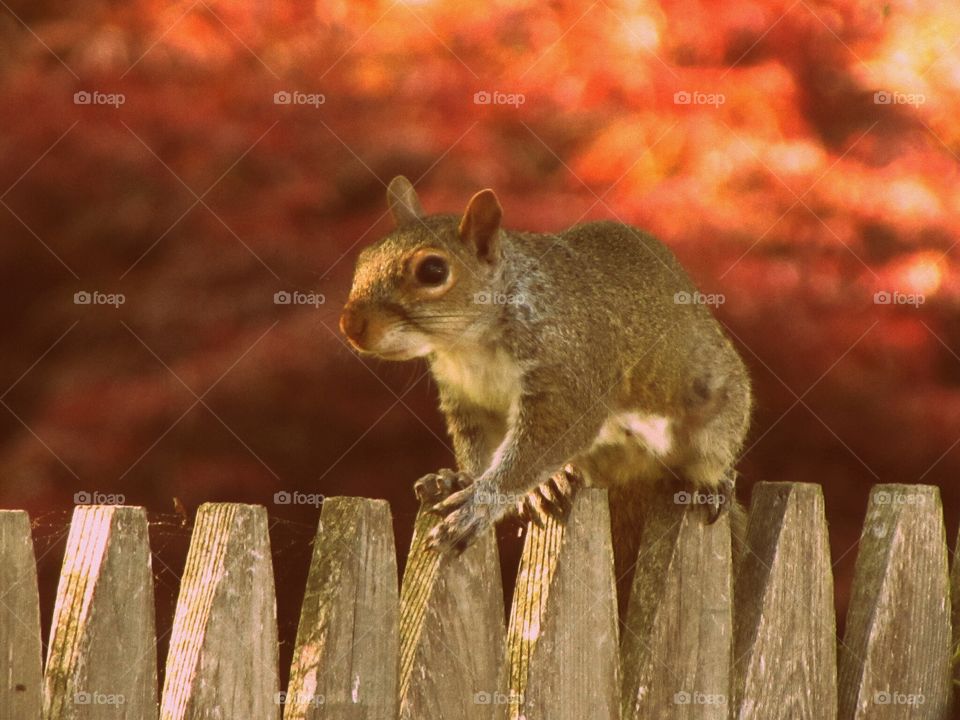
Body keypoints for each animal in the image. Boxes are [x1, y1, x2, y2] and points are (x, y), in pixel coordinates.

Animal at [342, 177, 752, 592]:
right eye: (362, 261)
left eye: (432, 270)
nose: (350, 326)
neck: (468, 346)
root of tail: (636, 473)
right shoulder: (468, 400)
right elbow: (477, 446)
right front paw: (457, 478)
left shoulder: (566, 373)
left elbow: (541, 445)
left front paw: (477, 505)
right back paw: (552, 483)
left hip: (716, 415)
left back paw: (712, 484)